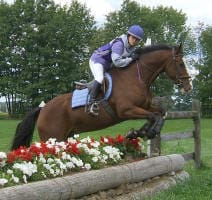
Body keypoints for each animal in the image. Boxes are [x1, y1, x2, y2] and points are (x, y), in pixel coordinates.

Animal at [10, 43, 192, 150]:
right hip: (52, 138)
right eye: (180, 63)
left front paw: (138, 132)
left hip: (67, 136)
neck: (137, 77)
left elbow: (159, 113)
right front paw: (147, 132)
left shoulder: (145, 106)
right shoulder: (126, 110)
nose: (188, 87)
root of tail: (43, 109)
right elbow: (154, 116)